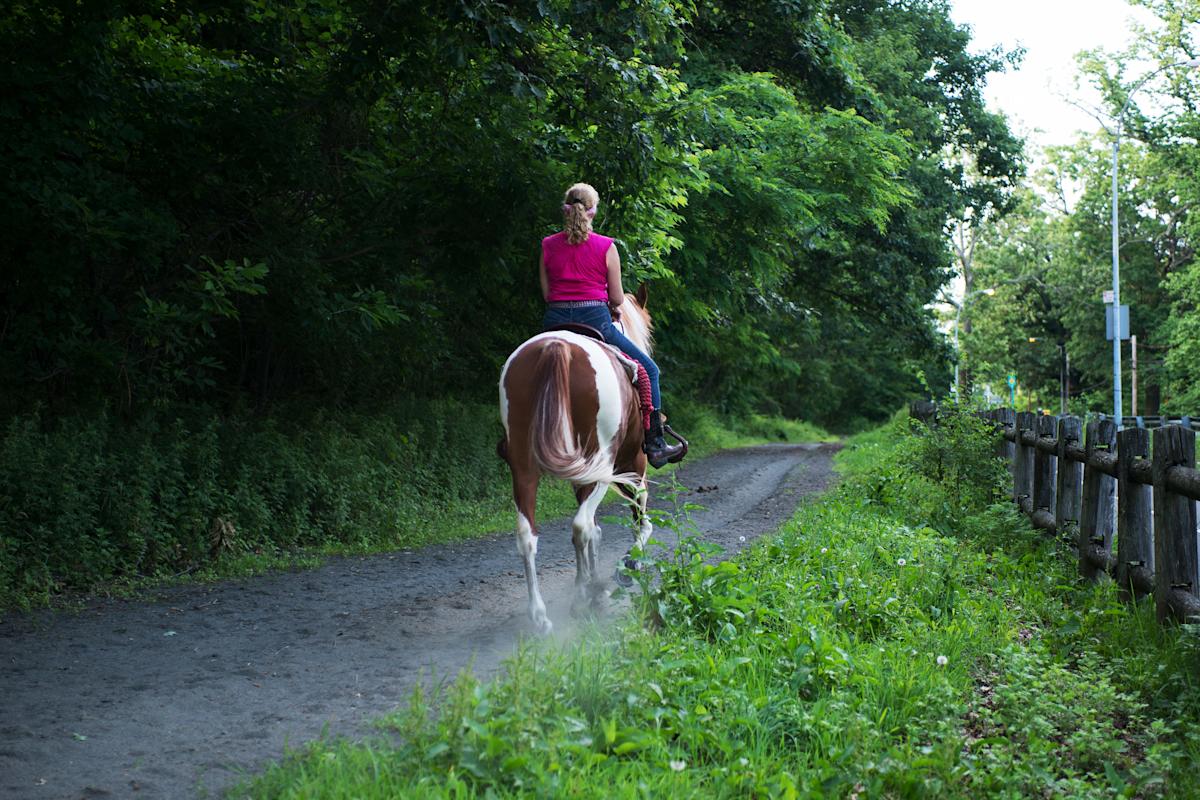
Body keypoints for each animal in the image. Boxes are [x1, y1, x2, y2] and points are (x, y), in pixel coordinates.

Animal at [496, 289, 657, 638]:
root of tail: (556, 347)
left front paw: (591, 586)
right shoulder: (634, 465)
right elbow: (640, 523)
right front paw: (626, 567)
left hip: (525, 467)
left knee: (528, 535)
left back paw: (541, 617)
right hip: (605, 464)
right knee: (582, 526)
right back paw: (581, 601)